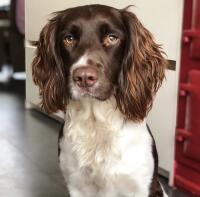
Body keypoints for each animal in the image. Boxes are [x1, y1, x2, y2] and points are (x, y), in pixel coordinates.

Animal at [32, 4, 168, 197]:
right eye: (69, 39)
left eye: (112, 37)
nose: (83, 77)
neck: (96, 124)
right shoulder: (77, 185)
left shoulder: (142, 186)